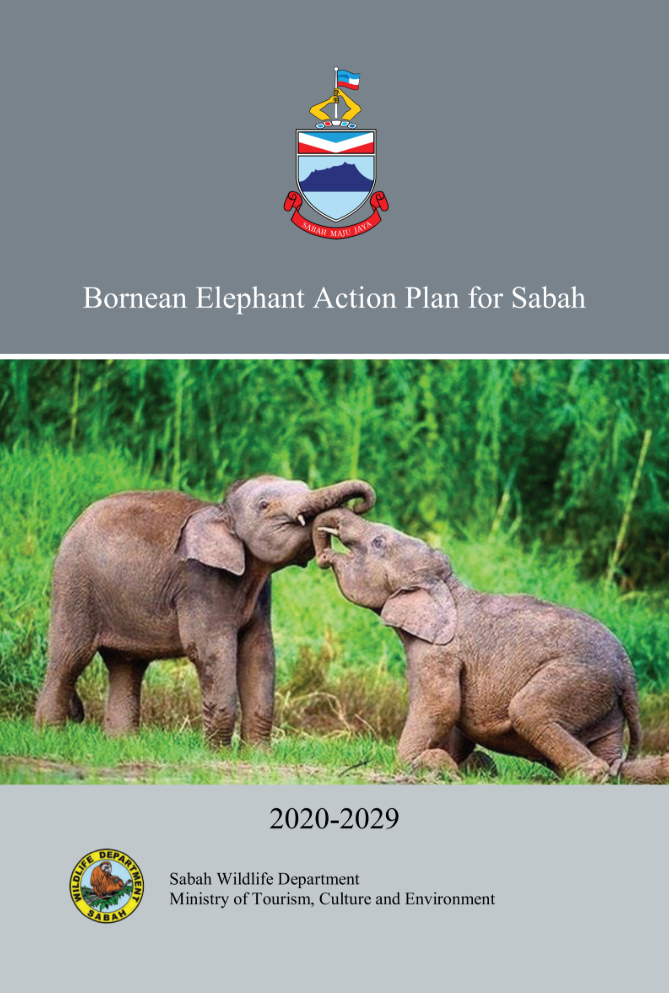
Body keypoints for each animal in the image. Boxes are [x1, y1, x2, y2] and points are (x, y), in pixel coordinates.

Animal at [34, 475, 375, 746]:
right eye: (264, 505)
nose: (356, 508)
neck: (221, 510)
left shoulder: (262, 593)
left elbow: (259, 652)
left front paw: (257, 755)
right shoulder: (200, 582)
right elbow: (211, 650)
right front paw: (217, 752)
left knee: (126, 665)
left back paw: (121, 744)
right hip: (74, 584)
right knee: (70, 657)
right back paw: (50, 738)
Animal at [313, 508, 669, 783]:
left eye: (378, 542)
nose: (322, 554)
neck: (449, 588)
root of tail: (628, 671)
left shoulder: (438, 653)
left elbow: (439, 706)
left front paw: (416, 763)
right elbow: (454, 717)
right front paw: (462, 764)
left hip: (581, 679)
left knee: (528, 711)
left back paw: (588, 775)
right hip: (606, 704)